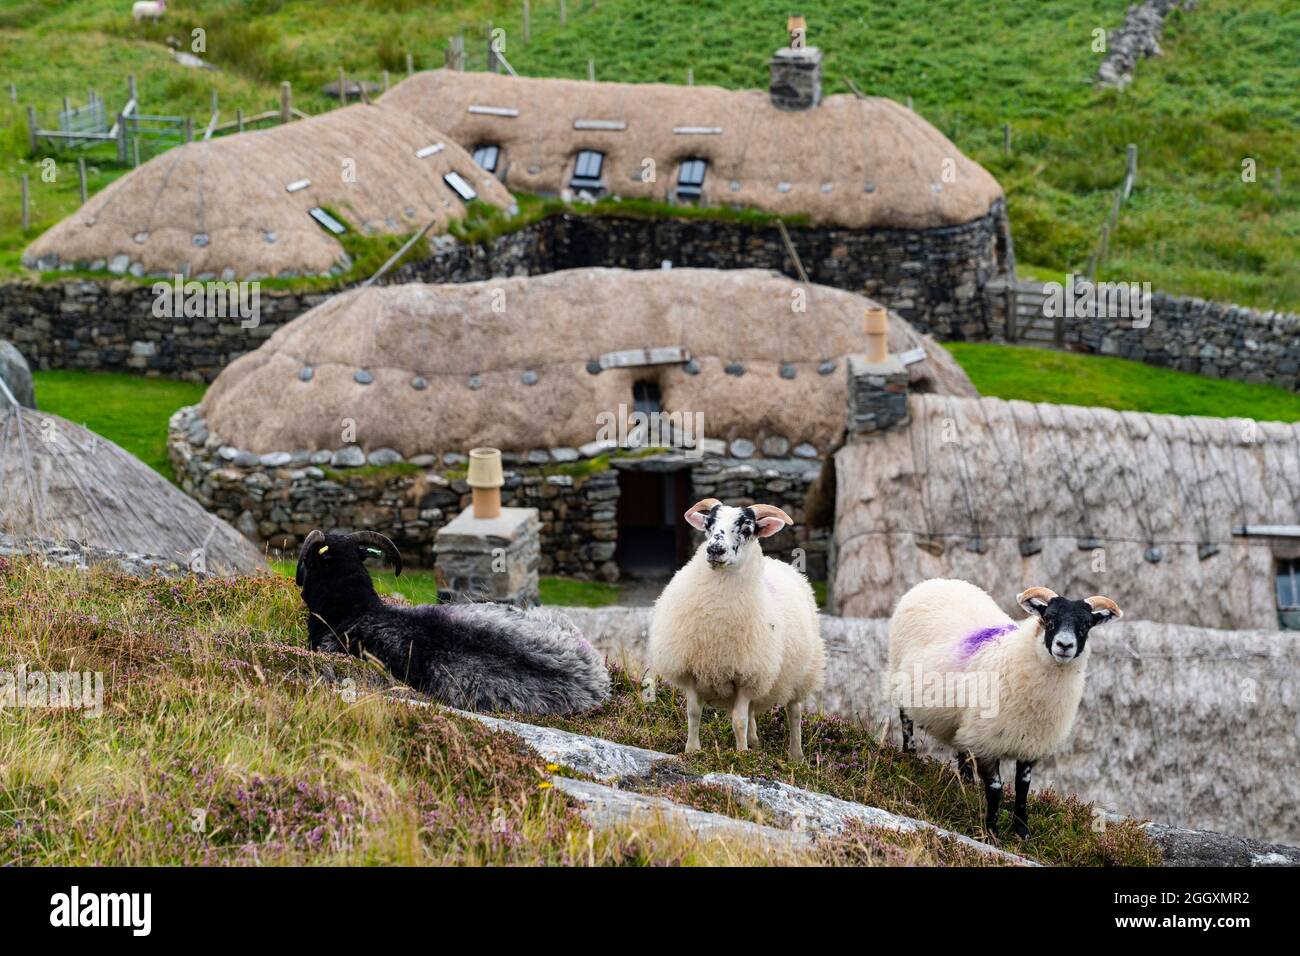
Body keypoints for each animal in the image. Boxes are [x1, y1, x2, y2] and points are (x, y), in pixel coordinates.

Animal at [647, 502, 821, 764]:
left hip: (800, 675)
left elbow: (738, 721)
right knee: (752, 713)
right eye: (708, 525)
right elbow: (694, 713)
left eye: (747, 529)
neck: (716, 615)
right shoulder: (692, 670)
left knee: (794, 712)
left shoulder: (748, 676)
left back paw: (795, 755)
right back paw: (755, 742)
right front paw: (692, 750)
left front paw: (741, 756)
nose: (715, 550)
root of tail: (781, 564)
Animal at [889, 574, 1123, 837]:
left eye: (1085, 626)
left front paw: (1022, 830)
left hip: (965, 720)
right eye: (1048, 619)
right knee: (905, 719)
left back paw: (966, 781)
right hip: (900, 675)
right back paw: (909, 756)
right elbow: (995, 790)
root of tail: (936, 581)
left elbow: (1023, 788)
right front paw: (992, 832)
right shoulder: (987, 742)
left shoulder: (1030, 744)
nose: (1064, 645)